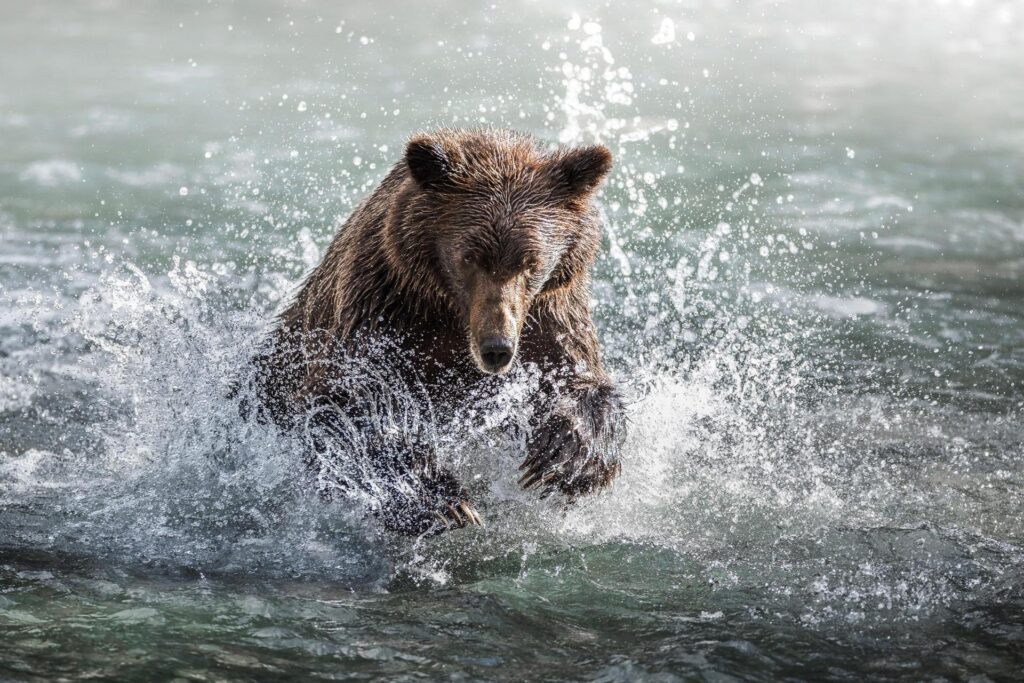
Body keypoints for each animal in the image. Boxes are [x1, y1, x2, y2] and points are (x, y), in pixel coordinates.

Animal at [248, 128, 624, 535]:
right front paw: (445, 502)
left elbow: (578, 380)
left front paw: (564, 459)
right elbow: (349, 401)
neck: (451, 314)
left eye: (531, 262)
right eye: (469, 257)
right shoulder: (383, 308)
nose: (496, 348)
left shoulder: (548, 315)